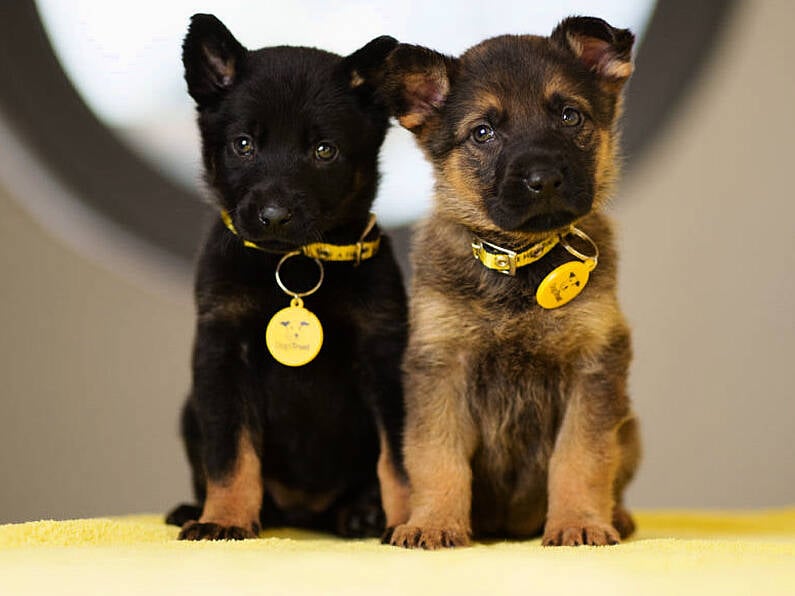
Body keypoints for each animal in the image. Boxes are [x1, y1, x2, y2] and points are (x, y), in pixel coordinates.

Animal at [166, 14, 408, 536]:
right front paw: (224, 519)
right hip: (189, 409)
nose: (273, 216)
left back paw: (362, 513)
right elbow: (230, 455)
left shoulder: (384, 356)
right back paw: (194, 509)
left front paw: (413, 521)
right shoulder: (223, 356)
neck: (292, 262)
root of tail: (304, 511)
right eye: (243, 145)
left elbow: (400, 460)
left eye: (324, 150)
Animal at [378, 17, 640, 548]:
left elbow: (581, 458)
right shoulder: (440, 366)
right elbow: (437, 458)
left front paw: (579, 521)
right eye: (483, 132)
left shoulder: (595, 366)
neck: (521, 260)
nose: (544, 179)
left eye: (569, 116)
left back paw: (616, 516)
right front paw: (434, 522)